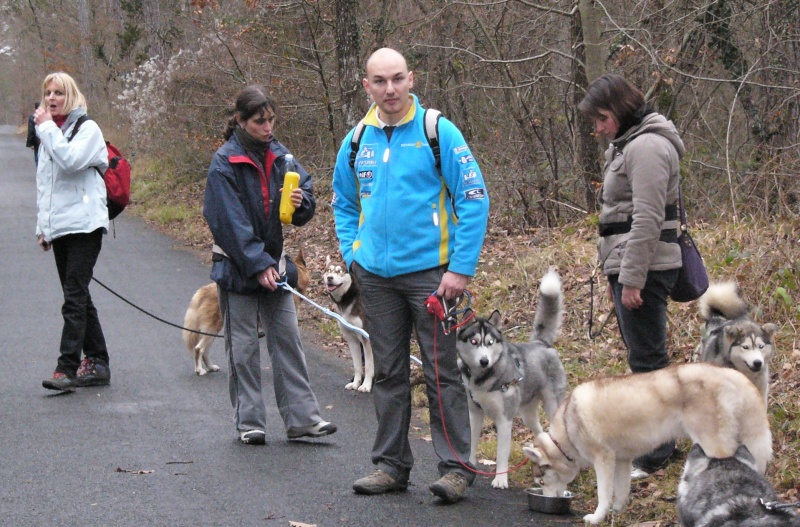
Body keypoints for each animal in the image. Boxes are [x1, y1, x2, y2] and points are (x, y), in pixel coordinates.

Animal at [520, 366, 772, 524]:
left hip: (712, 446)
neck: (566, 431)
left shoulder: (604, 460)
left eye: (541, 481)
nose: (551, 502)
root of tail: (729, 373)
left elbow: (604, 494)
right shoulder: (622, 460)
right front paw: (617, 512)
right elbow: (620, 492)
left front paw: (597, 517)